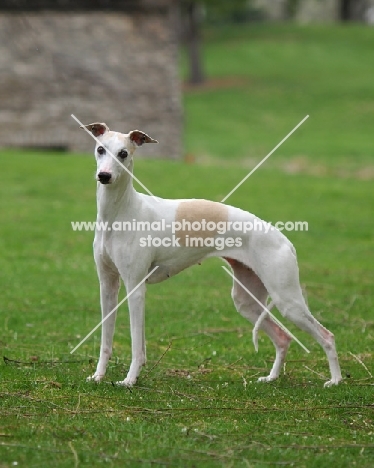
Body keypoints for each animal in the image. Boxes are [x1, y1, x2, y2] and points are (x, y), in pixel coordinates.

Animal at [81, 121, 342, 388]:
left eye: (123, 153)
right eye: (100, 149)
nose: (104, 176)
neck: (121, 212)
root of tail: (286, 242)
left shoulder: (135, 287)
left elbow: (137, 346)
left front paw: (130, 379)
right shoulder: (108, 285)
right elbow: (106, 340)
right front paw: (98, 375)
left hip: (287, 299)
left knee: (327, 336)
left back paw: (335, 380)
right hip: (247, 301)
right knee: (283, 337)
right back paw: (271, 377)